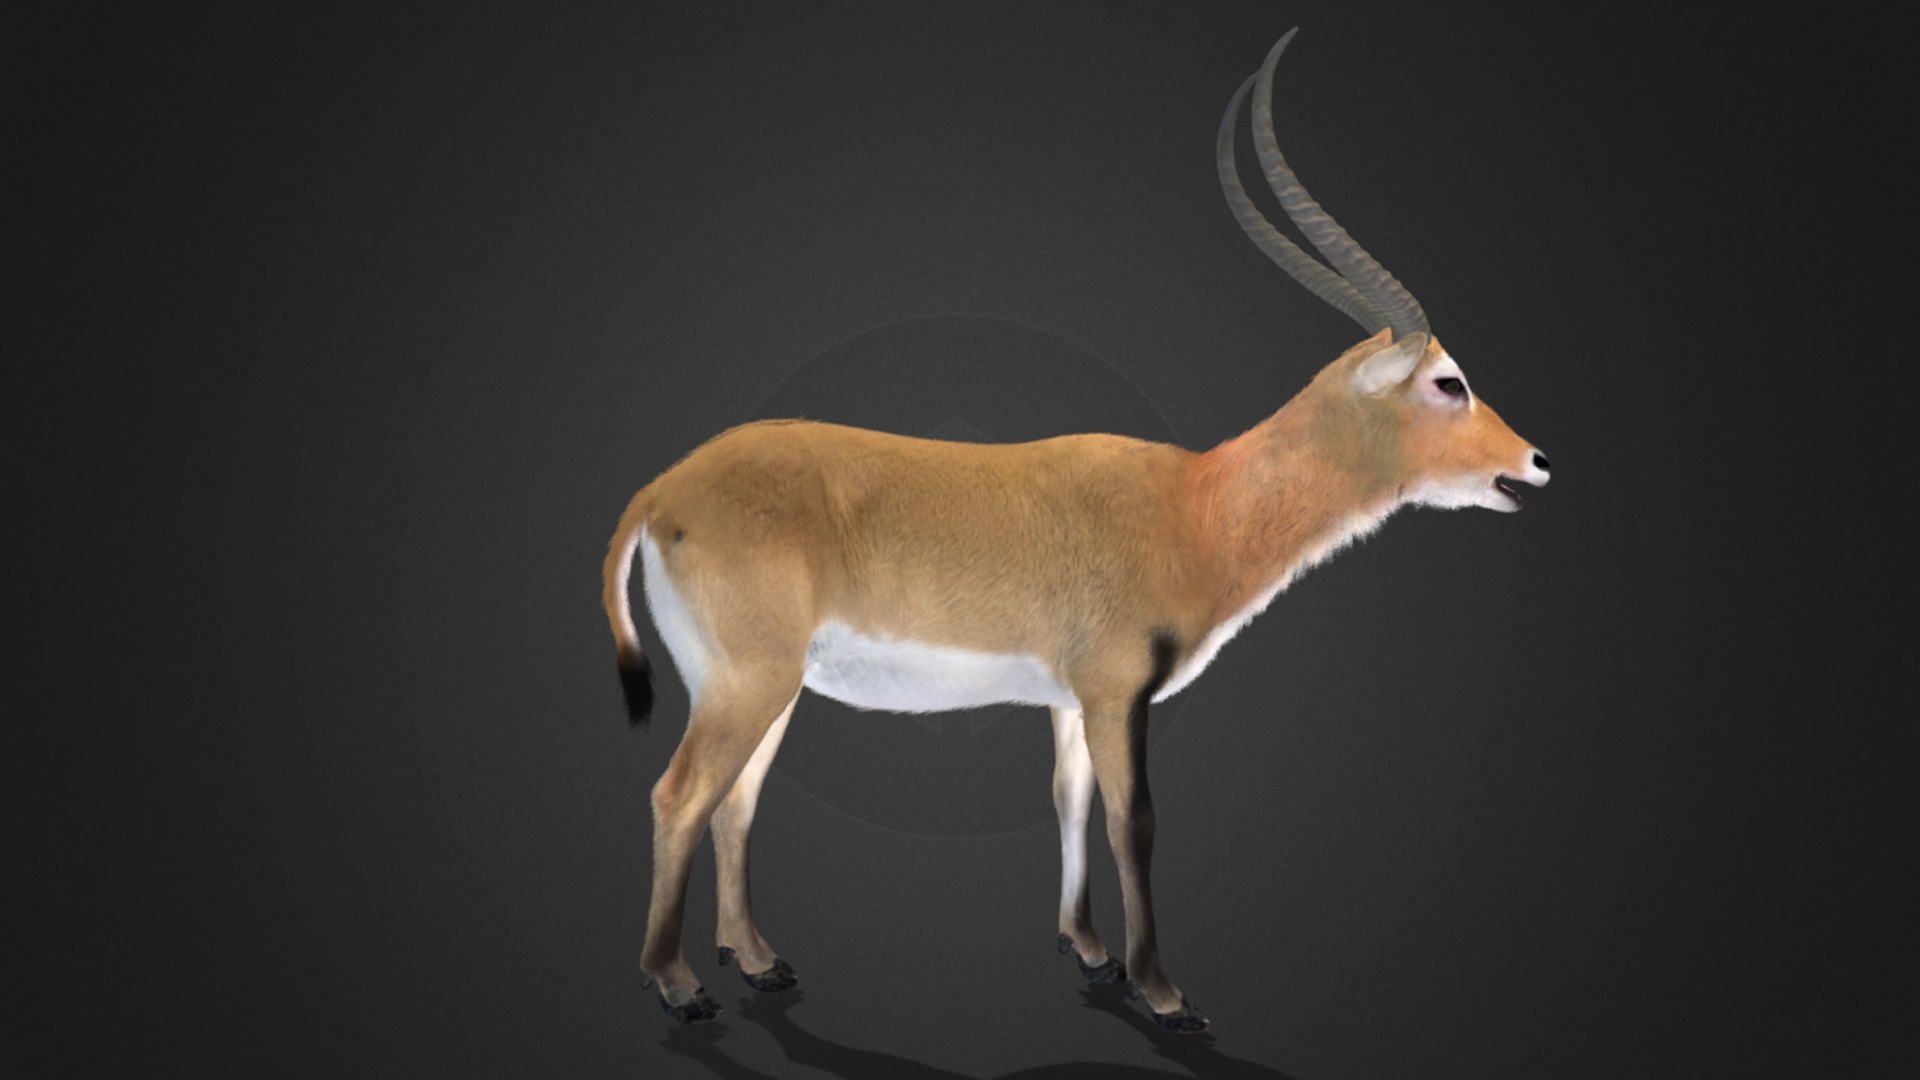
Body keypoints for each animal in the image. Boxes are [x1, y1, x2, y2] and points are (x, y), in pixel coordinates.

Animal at [602, 28, 1550, 1032]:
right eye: (1448, 381)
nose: (1534, 463)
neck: (1195, 504)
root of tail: (661, 491)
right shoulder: (1116, 693)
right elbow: (1135, 822)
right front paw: (1164, 994)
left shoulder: (1066, 701)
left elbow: (1068, 802)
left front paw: (1091, 954)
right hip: (748, 684)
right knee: (681, 796)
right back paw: (678, 986)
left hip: (770, 688)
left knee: (736, 802)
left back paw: (759, 963)